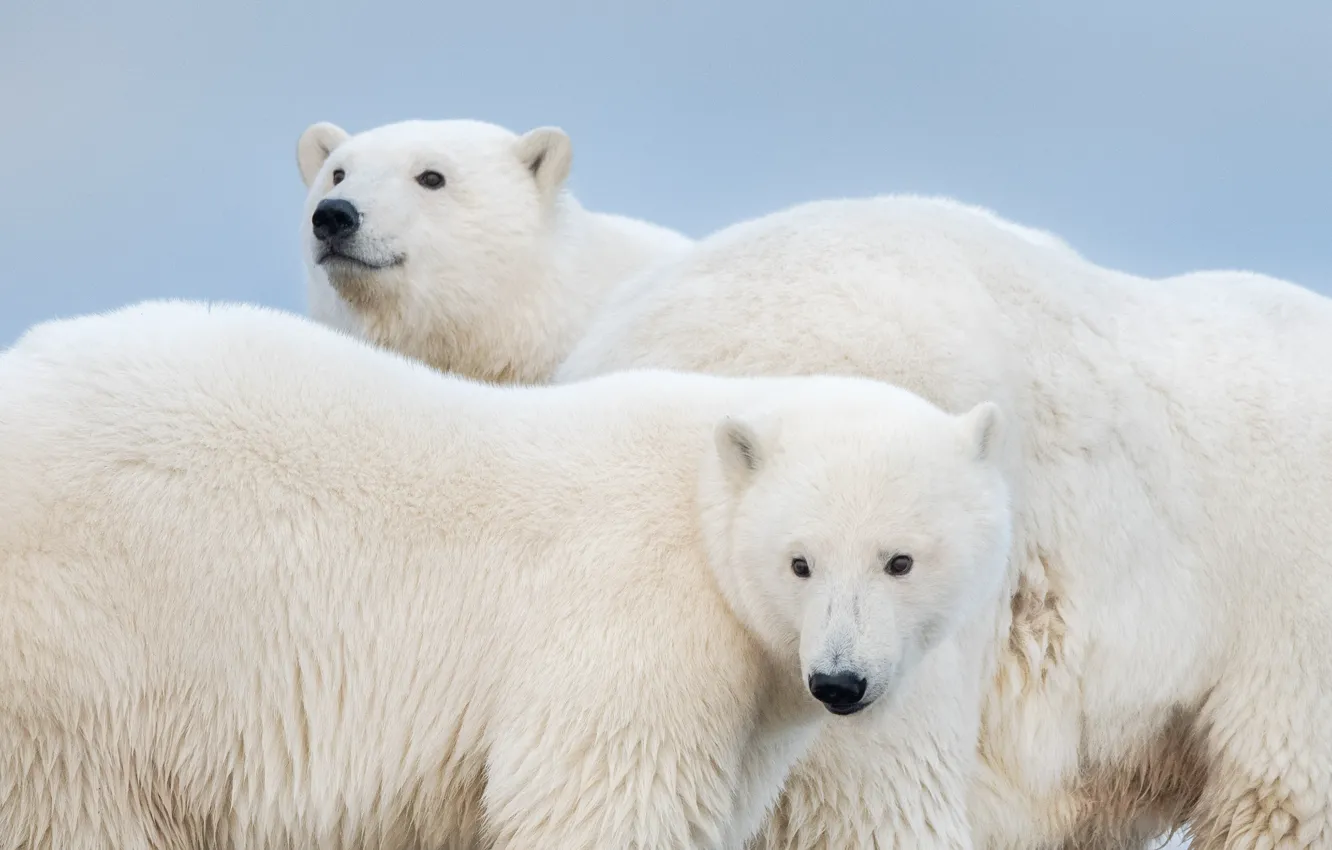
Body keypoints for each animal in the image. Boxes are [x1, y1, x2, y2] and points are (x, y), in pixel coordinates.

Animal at [0, 299, 1013, 850]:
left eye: (900, 559)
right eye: (800, 560)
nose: (839, 681)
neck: (698, 498)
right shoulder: (630, 620)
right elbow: (599, 801)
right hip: (84, 644)